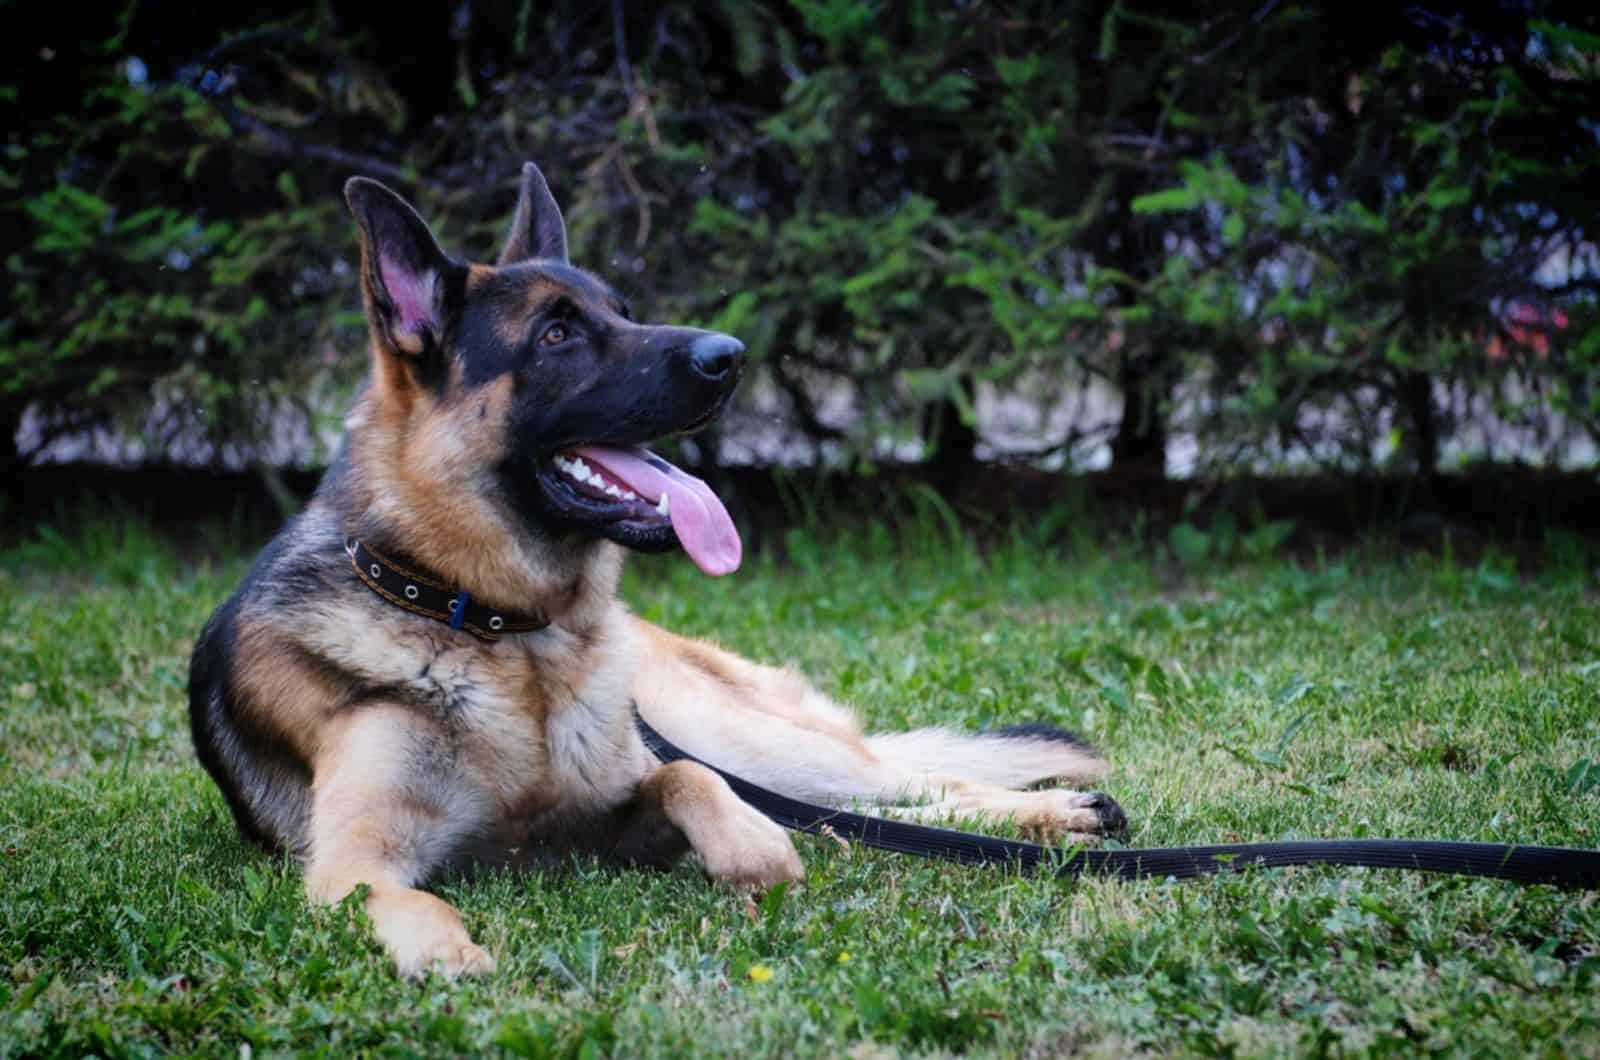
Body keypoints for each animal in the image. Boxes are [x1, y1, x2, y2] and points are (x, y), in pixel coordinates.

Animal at [187, 161, 1132, 986]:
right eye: (557, 334)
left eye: (624, 311)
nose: (733, 353)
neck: (491, 626)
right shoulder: (354, 865)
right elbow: (414, 904)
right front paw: (449, 956)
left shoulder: (622, 810)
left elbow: (687, 779)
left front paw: (752, 851)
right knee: (862, 816)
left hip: (746, 736)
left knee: (897, 787)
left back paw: (1054, 816)